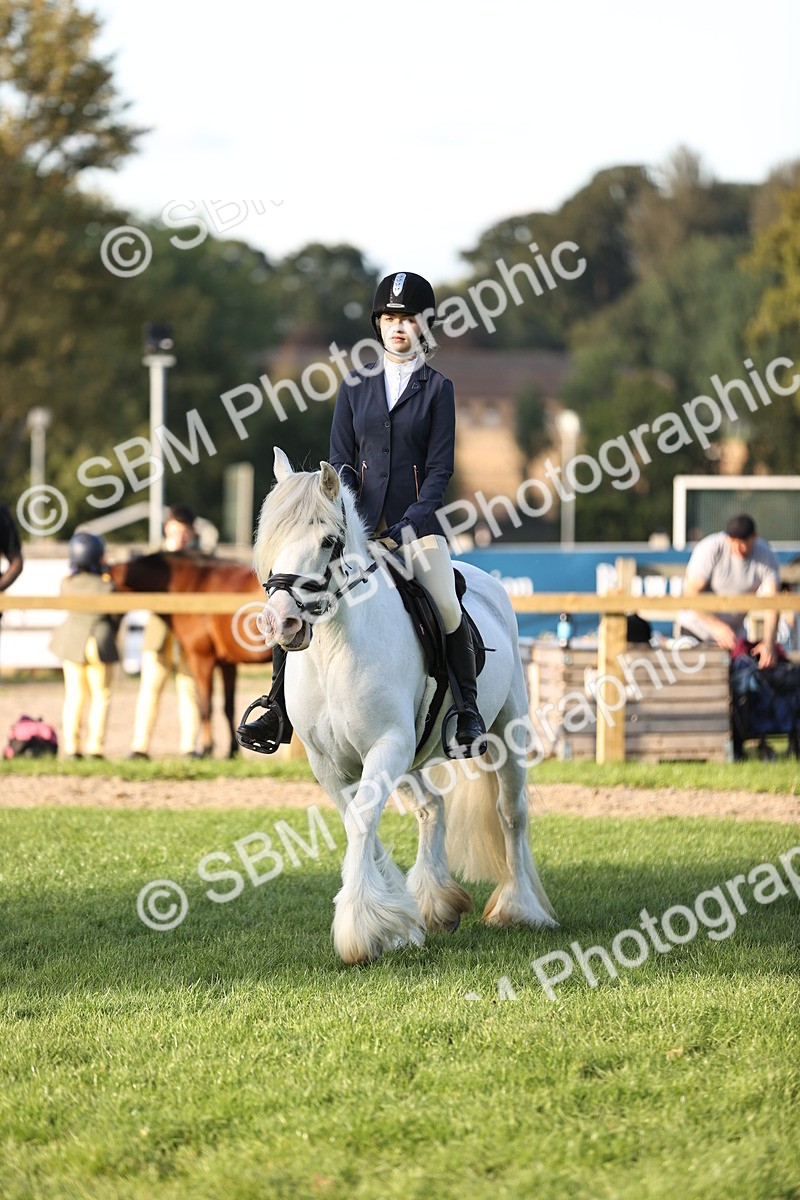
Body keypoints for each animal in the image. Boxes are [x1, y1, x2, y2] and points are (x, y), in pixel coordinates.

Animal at [110, 551, 272, 757]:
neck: (193, 584)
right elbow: (228, 707)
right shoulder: (227, 663)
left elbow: (205, 706)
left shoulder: (201, 659)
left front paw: (206, 749)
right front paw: (232, 751)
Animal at [253, 447, 557, 964]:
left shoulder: (387, 744)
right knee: (432, 808)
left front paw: (361, 931)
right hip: (413, 752)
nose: (281, 623)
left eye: (329, 541)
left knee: (510, 813)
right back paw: (438, 903)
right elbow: (359, 823)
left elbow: (361, 822)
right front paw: (396, 920)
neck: (334, 650)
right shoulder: (329, 762)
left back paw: (519, 909)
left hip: (506, 731)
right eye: (271, 537)